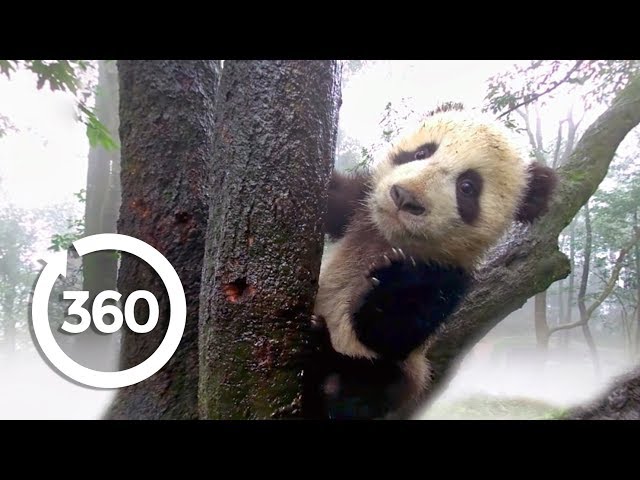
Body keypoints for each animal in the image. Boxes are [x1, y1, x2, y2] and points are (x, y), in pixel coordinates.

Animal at [302, 104, 558, 419]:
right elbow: (334, 198)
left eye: (467, 187)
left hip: (406, 375)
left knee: (372, 385)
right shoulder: (359, 208)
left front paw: (393, 280)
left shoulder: (452, 275)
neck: (388, 239)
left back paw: (326, 365)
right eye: (422, 152)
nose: (404, 197)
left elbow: (392, 332)